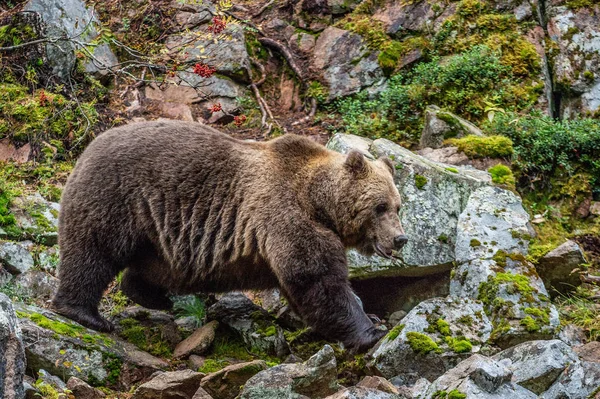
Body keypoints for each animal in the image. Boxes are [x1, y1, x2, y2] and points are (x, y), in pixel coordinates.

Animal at [54, 120, 408, 352]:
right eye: (379, 206)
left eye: (398, 206)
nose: (400, 239)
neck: (318, 200)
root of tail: (89, 145)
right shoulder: (284, 214)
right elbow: (317, 280)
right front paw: (371, 331)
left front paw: (371, 314)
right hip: (117, 198)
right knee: (92, 252)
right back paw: (85, 313)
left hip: (160, 238)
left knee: (154, 267)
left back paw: (156, 297)